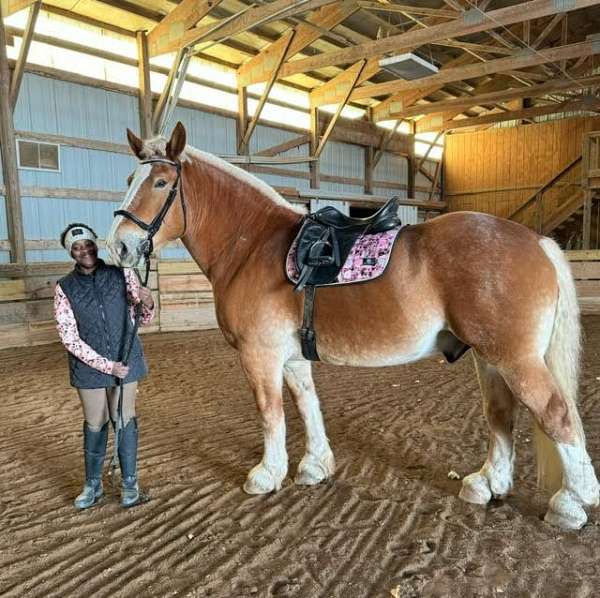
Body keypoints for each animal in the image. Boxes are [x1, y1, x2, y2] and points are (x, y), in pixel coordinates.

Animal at [108, 122, 600, 528]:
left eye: (160, 182)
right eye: (129, 181)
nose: (120, 246)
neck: (253, 247)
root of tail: (535, 241)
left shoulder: (259, 355)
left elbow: (271, 413)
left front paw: (267, 475)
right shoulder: (290, 357)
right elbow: (307, 405)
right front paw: (314, 466)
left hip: (514, 358)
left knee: (556, 415)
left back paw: (571, 503)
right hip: (489, 357)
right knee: (501, 414)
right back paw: (487, 484)